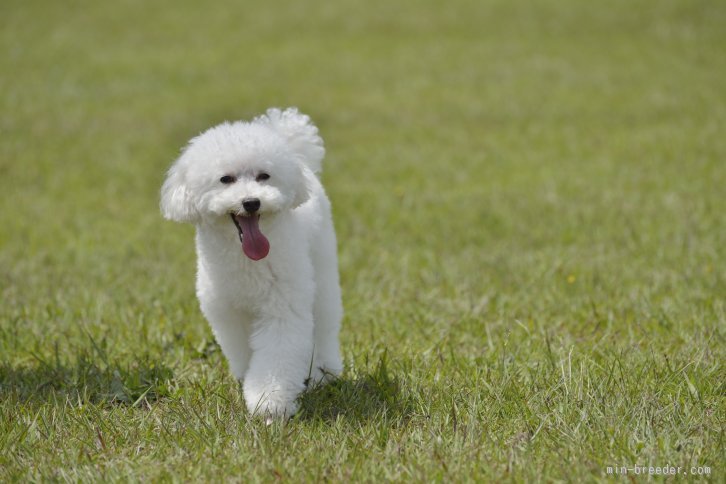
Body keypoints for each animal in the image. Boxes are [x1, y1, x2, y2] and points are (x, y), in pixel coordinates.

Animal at [162, 108, 344, 418]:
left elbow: (276, 355)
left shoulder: (281, 309)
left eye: (264, 176)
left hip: (322, 269)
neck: (246, 259)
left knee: (324, 322)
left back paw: (324, 371)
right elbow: (244, 349)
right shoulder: (228, 313)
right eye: (225, 179)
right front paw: (248, 381)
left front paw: (270, 403)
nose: (251, 202)